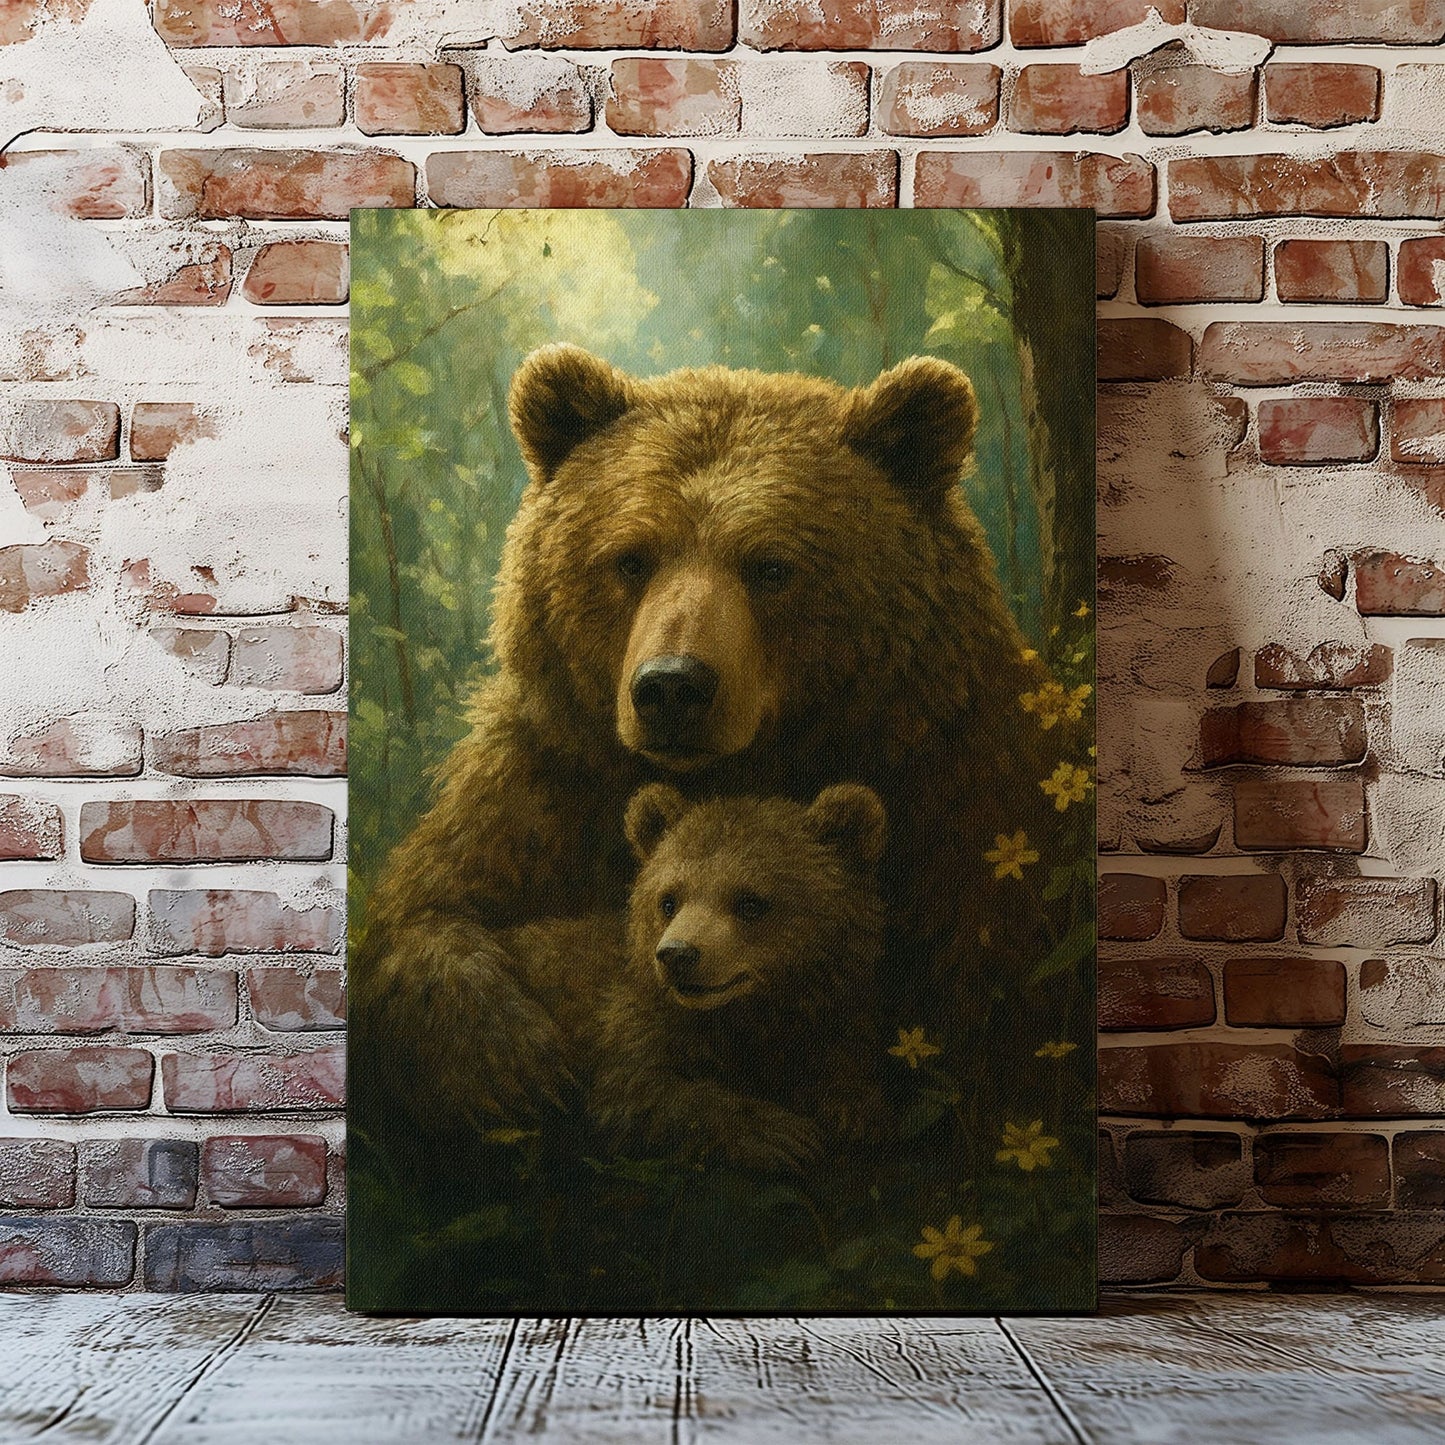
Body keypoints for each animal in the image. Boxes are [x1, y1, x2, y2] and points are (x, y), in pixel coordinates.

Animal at [482, 782, 888, 1173]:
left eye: (750, 902)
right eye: (668, 900)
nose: (677, 954)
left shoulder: (827, 1013)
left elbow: (842, 1055)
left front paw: (850, 1107)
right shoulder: (628, 1022)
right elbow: (636, 1091)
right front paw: (778, 1133)